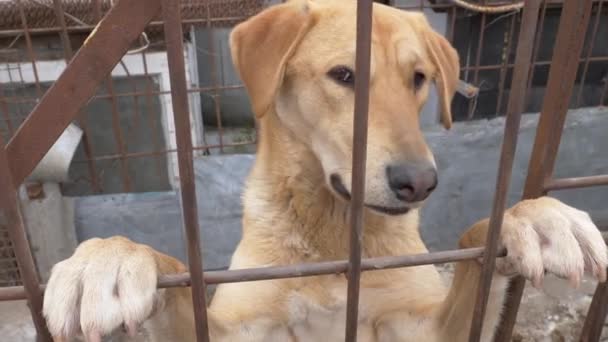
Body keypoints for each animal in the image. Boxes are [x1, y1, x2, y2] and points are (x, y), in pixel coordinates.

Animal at [44, 1, 608, 340]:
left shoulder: (421, 329)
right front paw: (110, 259)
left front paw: (534, 219)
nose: (419, 183)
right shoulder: (238, 329)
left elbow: (476, 243)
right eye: (343, 75)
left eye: (419, 78)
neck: (332, 235)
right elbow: (175, 271)